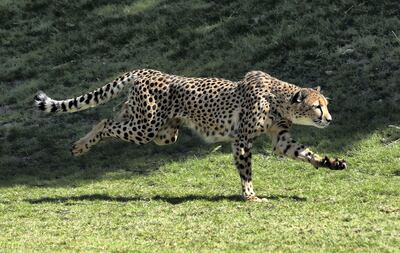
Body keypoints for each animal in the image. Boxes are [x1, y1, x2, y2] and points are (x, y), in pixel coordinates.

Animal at [34, 69, 346, 202]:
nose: (330, 119)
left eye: (326, 104)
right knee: (107, 122)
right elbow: (246, 170)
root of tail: (146, 70)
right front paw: (250, 196)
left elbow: (303, 152)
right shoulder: (242, 140)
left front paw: (330, 162)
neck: (279, 99)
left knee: (111, 116)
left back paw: (81, 144)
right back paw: (80, 146)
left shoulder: (280, 138)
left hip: (162, 131)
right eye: (317, 106)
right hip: (146, 128)